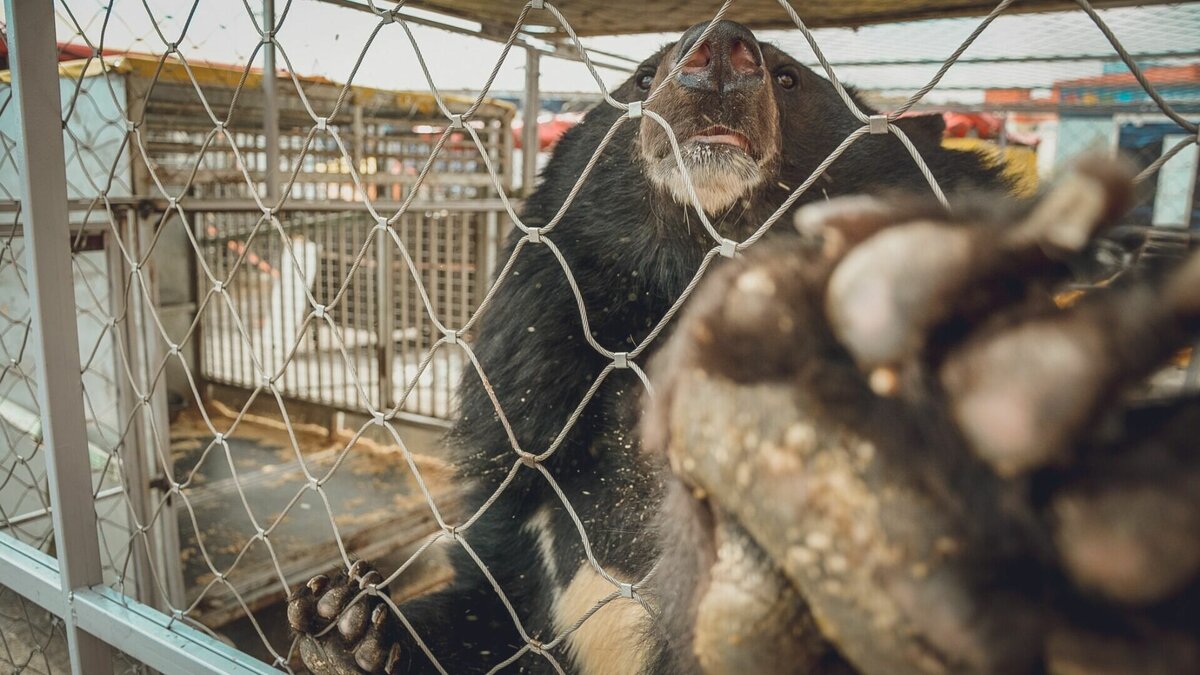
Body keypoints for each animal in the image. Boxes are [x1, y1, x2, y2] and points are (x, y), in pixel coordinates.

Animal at [292, 18, 1012, 667]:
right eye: (642, 77)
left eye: (789, 78)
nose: (718, 51)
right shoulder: (531, 432)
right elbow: (489, 601)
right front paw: (344, 624)